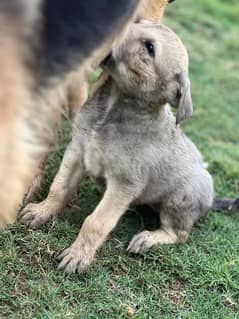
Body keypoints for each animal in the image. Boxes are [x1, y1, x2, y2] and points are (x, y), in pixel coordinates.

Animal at [21, 21, 214, 276]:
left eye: (150, 48)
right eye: (137, 24)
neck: (111, 109)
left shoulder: (124, 184)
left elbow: (96, 221)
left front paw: (78, 255)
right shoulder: (77, 152)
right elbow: (59, 187)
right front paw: (42, 212)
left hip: (181, 198)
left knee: (179, 234)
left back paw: (147, 239)